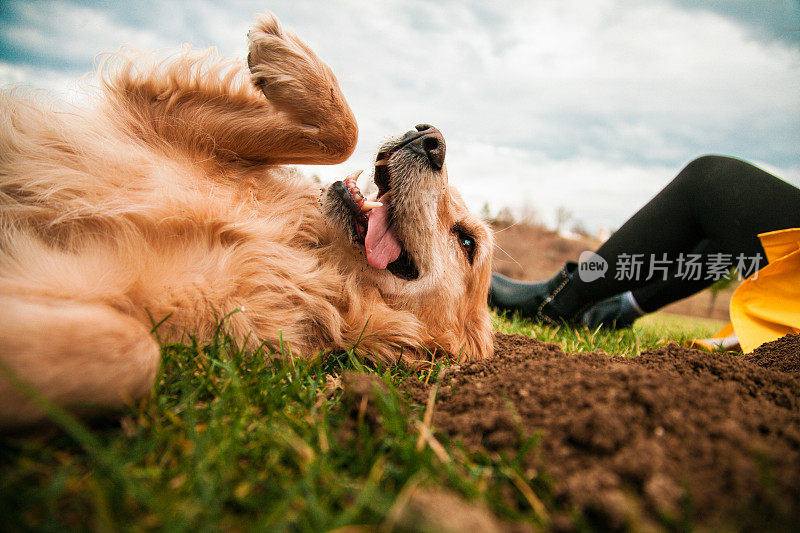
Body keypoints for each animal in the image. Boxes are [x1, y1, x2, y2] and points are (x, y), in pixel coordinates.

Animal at [0, 12, 494, 426]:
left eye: (467, 242)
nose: (430, 137)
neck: (305, 252)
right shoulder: (155, 116)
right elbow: (342, 133)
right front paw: (284, 57)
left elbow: (134, 352)